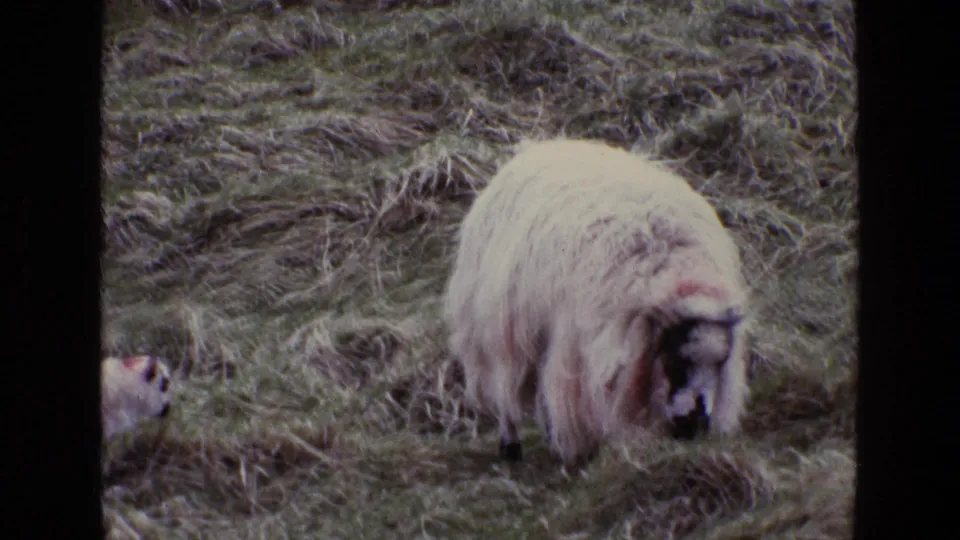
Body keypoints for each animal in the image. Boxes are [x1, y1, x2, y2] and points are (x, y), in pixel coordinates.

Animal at [443, 138, 750, 466]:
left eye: (720, 364)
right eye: (677, 363)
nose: (694, 426)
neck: (672, 268)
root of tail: (542, 145)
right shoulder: (576, 341)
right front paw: (575, 452)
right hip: (503, 330)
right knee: (507, 391)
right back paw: (511, 445)